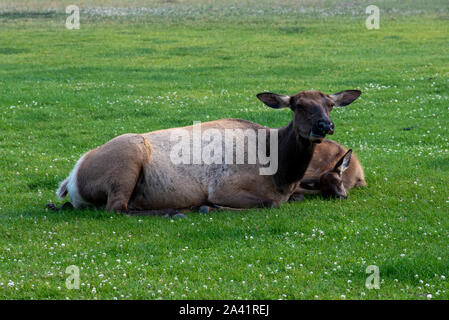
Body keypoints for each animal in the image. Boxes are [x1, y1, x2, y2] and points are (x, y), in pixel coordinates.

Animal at [51, 89, 360, 216]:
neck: (282, 174)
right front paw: (209, 207)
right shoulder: (225, 187)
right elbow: (270, 203)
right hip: (128, 155)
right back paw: (175, 211)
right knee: (117, 208)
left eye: (329, 105)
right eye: (298, 106)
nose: (325, 125)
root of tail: (71, 179)